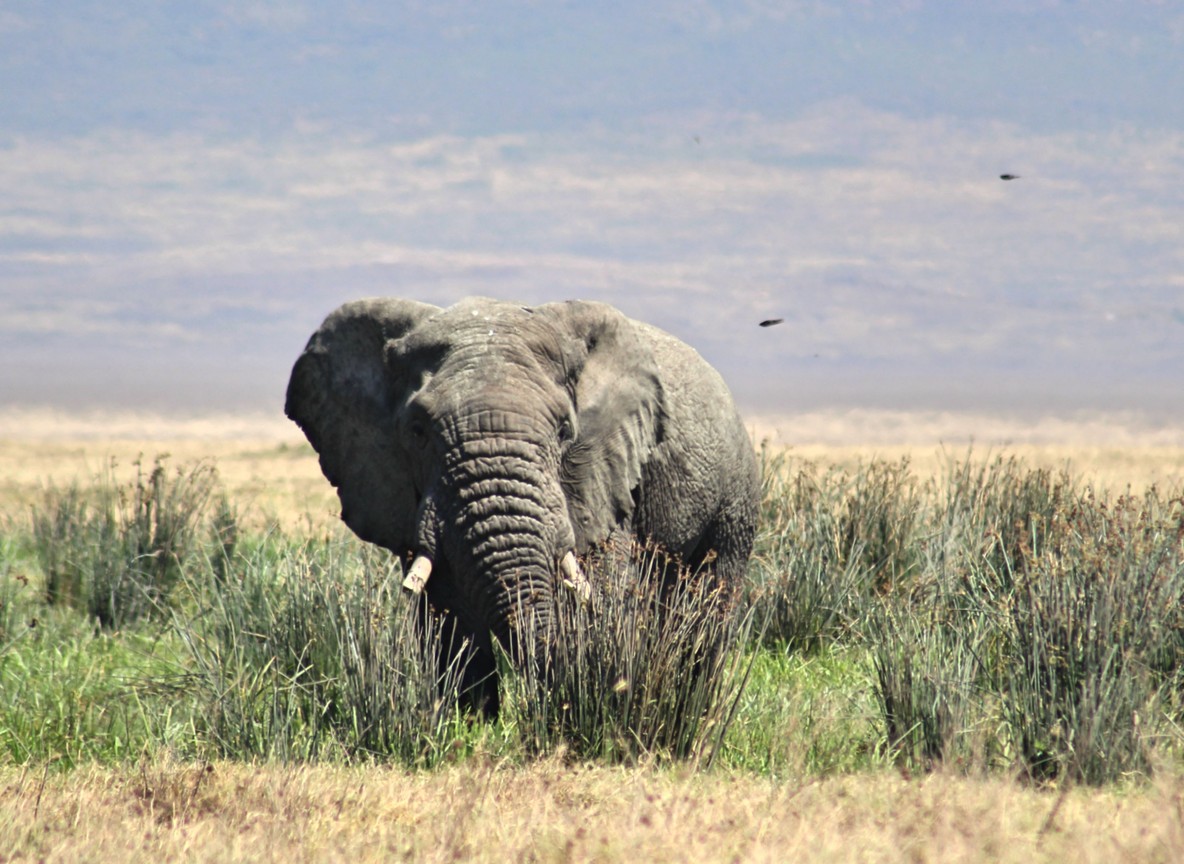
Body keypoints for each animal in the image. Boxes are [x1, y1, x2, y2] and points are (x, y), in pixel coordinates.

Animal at [285, 296, 761, 716]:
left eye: (565, 430)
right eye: (417, 431)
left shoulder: (603, 482)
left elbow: (595, 596)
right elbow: (446, 613)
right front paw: (471, 726)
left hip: (735, 497)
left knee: (712, 604)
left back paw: (695, 707)